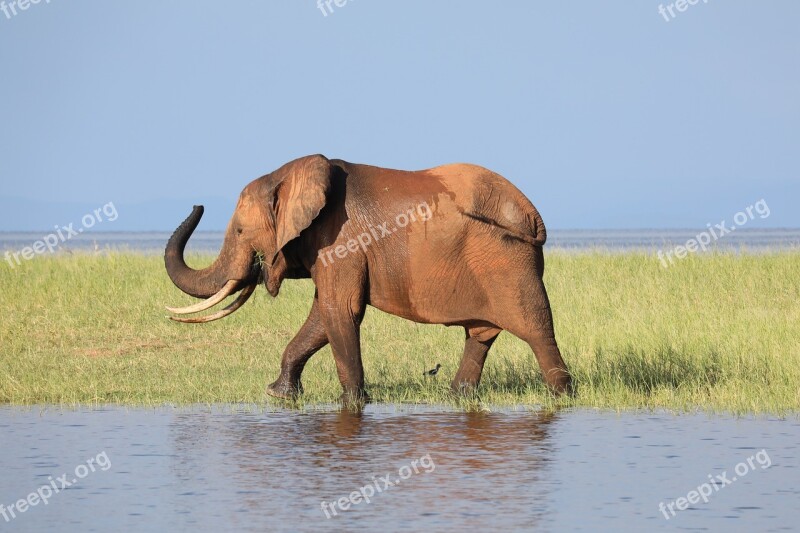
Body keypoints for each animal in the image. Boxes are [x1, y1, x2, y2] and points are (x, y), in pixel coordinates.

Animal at [166, 154, 572, 404]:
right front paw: (279, 395)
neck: (290, 174)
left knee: (537, 329)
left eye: (238, 231)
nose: (197, 203)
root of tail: (534, 218)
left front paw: (349, 403)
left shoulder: (341, 242)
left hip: (510, 264)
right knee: (481, 334)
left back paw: (563, 396)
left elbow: (339, 310)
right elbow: (322, 315)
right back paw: (457, 397)